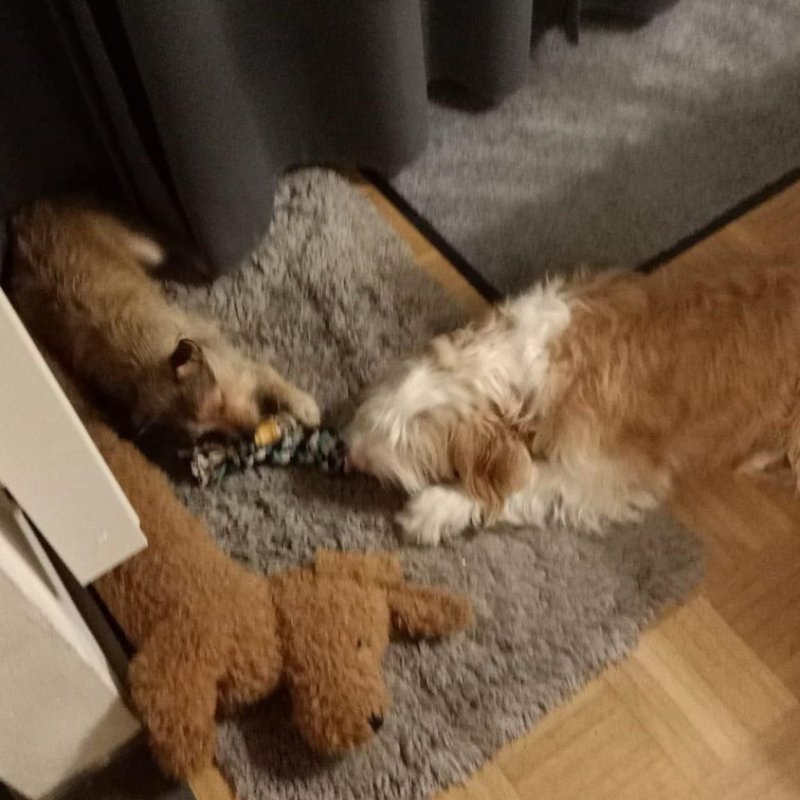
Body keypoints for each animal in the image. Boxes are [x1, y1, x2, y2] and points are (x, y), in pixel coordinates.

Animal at [9, 196, 320, 439]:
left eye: (219, 400)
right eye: (209, 431)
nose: (248, 435)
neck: (148, 363)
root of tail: (26, 213)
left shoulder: (226, 356)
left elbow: (268, 373)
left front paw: (303, 405)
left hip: (146, 248)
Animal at [345, 263, 800, 545]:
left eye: (410, 442)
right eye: (380, 414)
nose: (353, 455)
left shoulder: (611, 473)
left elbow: (527, 479)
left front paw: (435, 509)